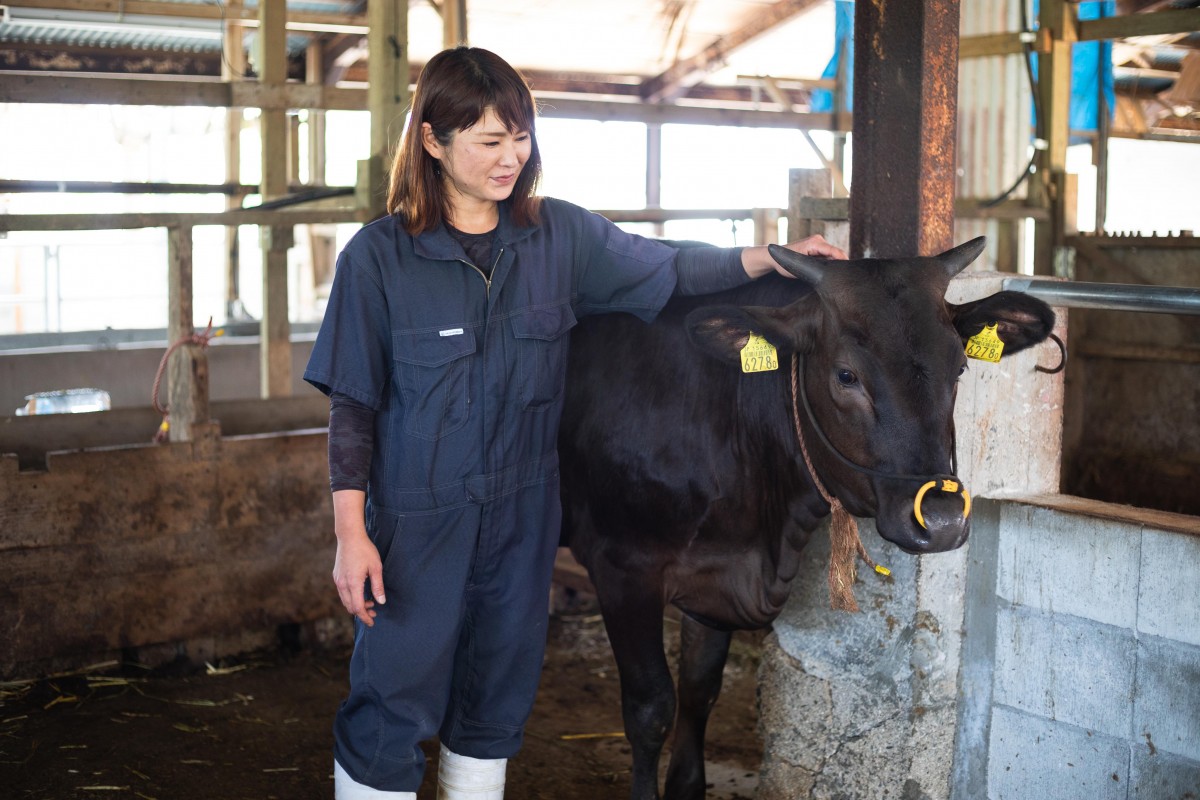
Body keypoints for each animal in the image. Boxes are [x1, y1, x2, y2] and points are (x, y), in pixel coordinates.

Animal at [556, 236, 1056, 800]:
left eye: (960, 371)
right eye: (847, 376)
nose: (943, 517)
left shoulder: (715, 572)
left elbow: (699, 691)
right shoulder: (623, 568)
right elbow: (651, 708)